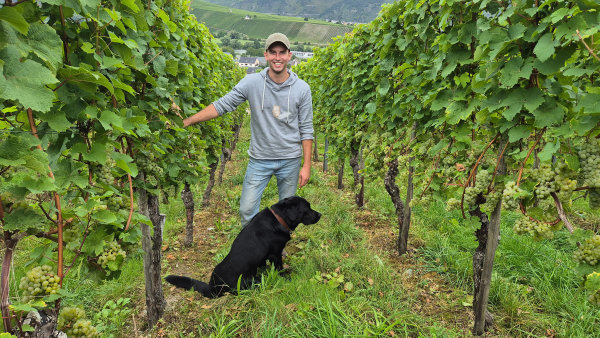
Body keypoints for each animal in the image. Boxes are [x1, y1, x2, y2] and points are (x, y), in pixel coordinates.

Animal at [165, 195, 318, 298]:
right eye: (307, 209)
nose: (320, 214)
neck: (278, 219)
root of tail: (212, 287)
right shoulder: (275, 254)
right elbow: (279, 269)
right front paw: (286, 278)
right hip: (251, 281)